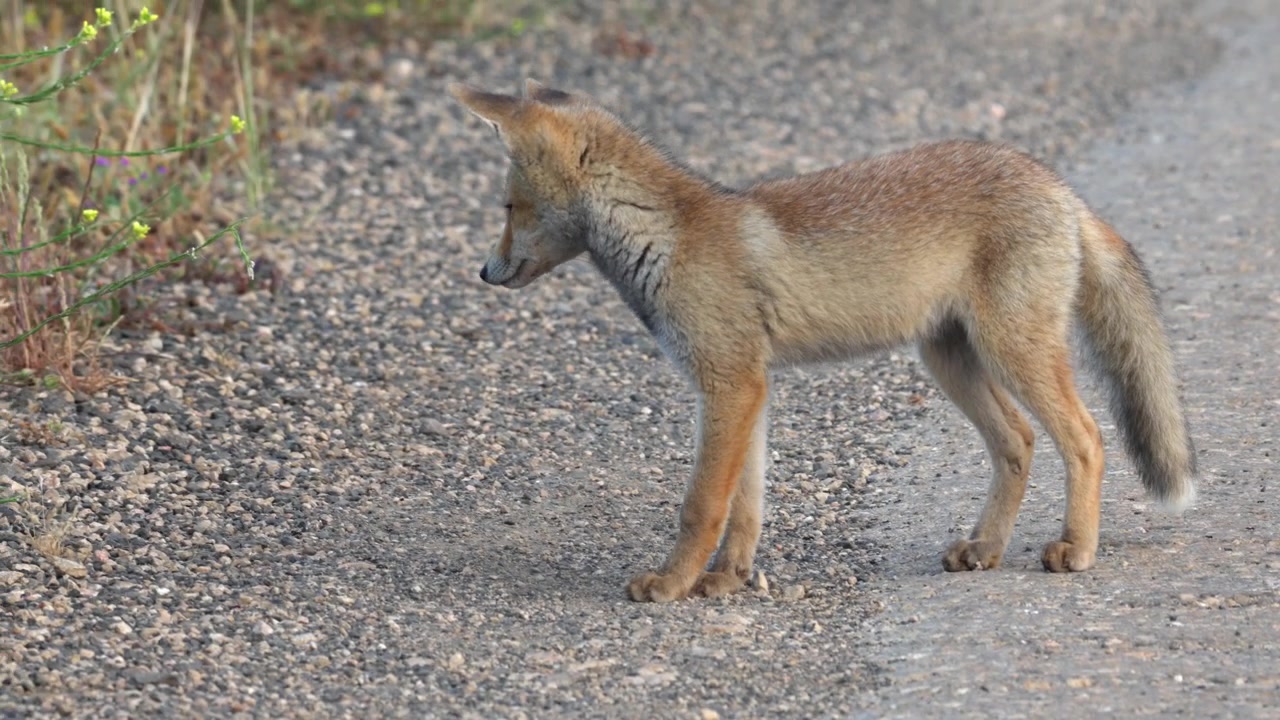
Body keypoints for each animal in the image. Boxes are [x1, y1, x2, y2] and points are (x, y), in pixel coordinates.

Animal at [447, 79, 1196, 603]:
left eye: (509, 209)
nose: (483, 272)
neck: (670, 237)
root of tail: (1060, 187)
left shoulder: (729, 382)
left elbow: (701, 507)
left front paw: (671, 585)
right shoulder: (750, 388)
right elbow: (745, 509)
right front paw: (726, 583)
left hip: (1012, 350)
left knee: (1087, 439)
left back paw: (1076, 549)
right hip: (950, 359)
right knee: (1019, 442)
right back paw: (984, 548)